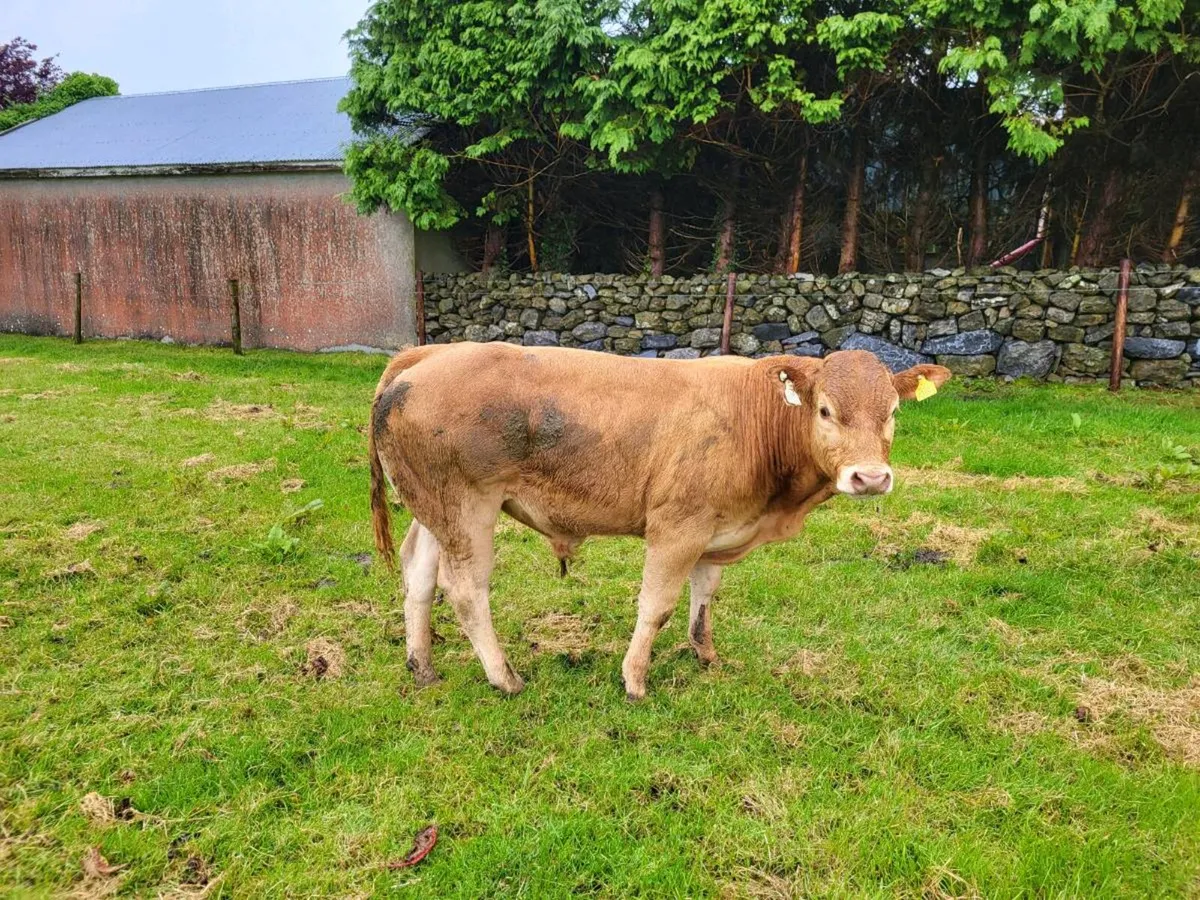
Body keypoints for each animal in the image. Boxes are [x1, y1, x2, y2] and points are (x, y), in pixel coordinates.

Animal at [369, 342, 951, 700]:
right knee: (465, 589)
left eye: (893, 412)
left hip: (432, 510)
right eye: (826, 410)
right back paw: (505, 678)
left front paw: (706, 655)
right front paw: (634, 680)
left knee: (418, 574)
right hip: (467, 507)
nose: (870, 478)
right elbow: (657, 605)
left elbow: (704, 596)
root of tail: (431, 353)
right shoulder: (677, 527)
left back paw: (422, 666)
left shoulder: (718, 527)